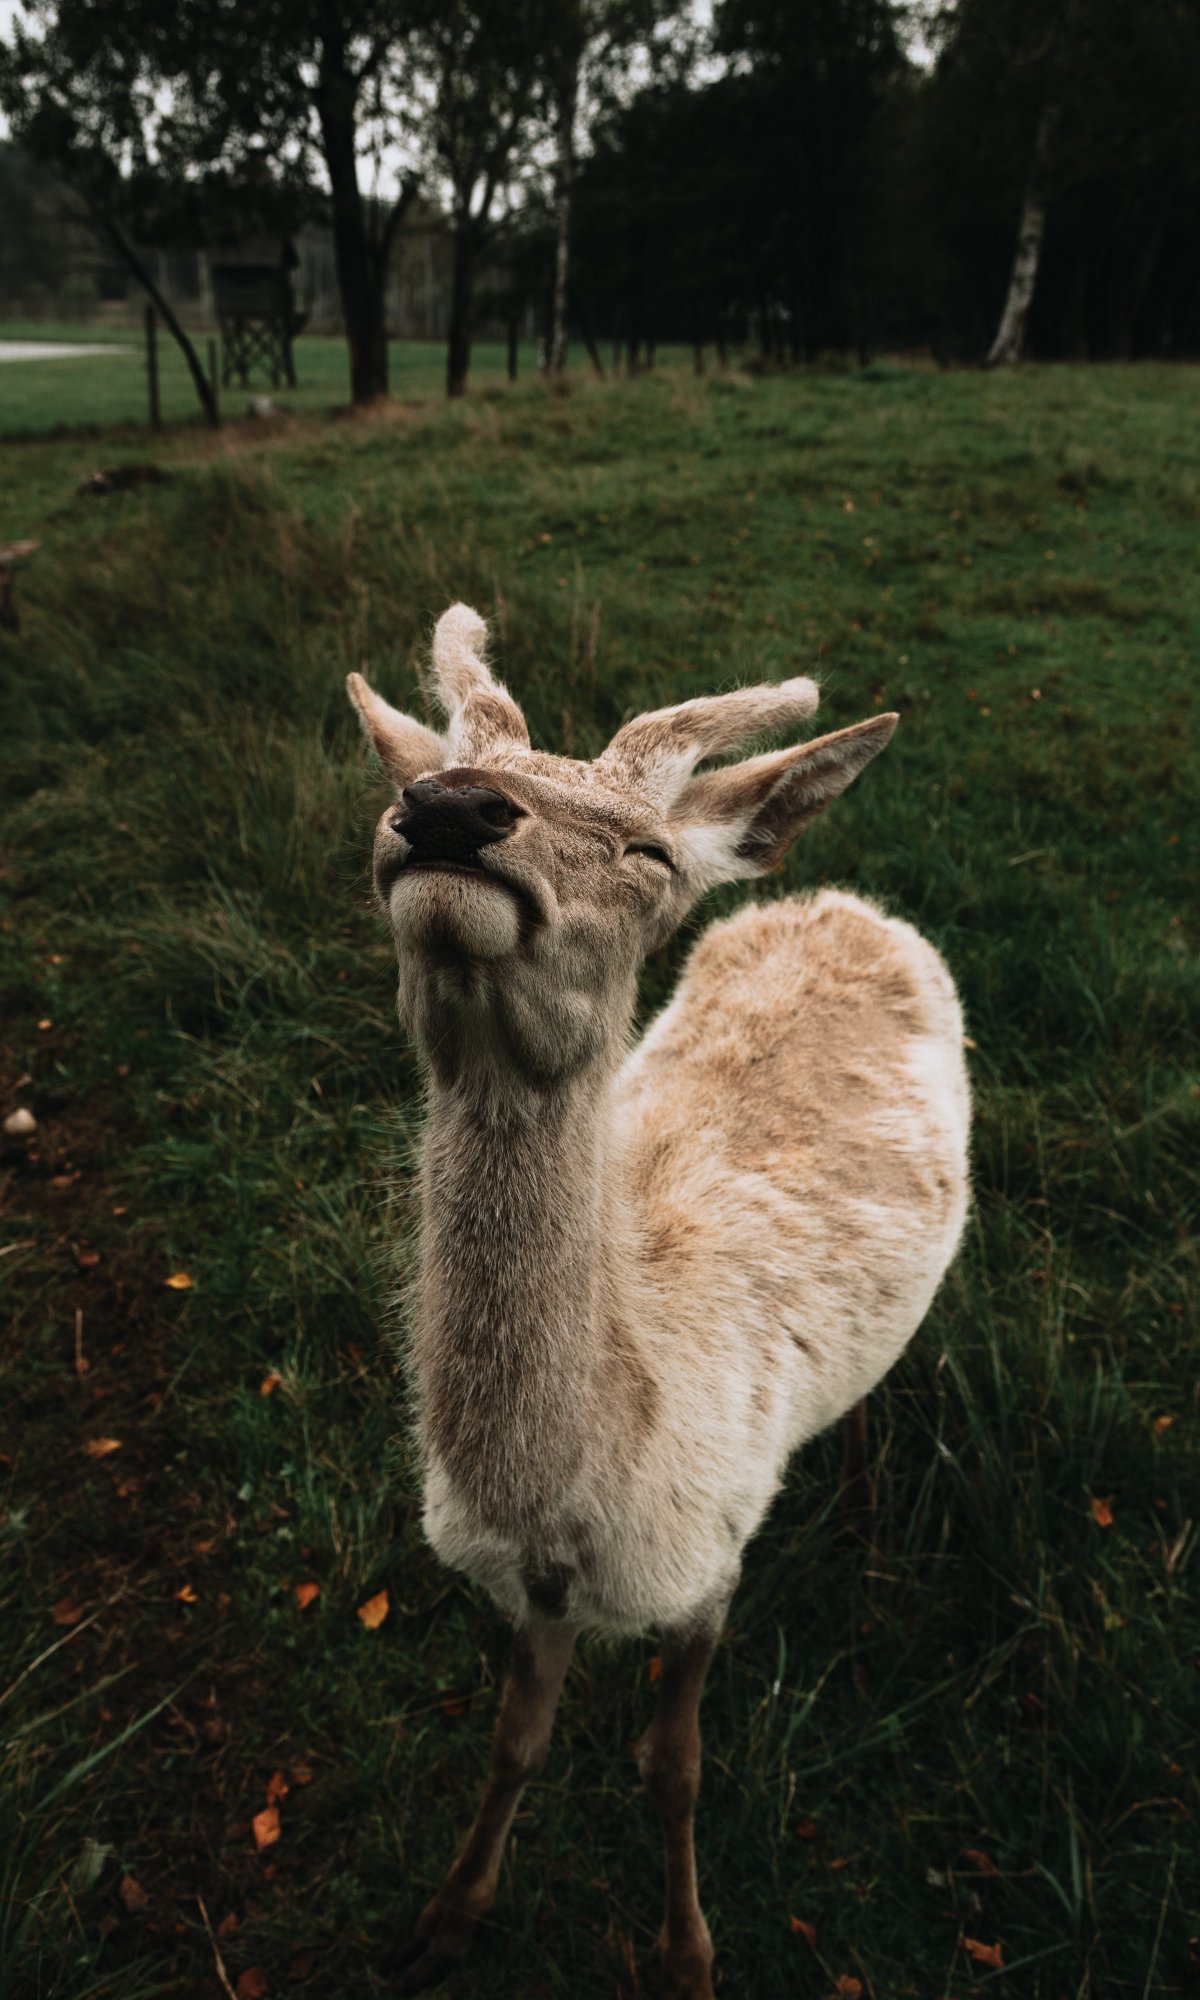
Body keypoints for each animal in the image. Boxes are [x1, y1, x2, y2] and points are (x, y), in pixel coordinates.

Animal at [347, 605, 970, 1997]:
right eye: (402, 785)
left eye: (646, 851)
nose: (447, 808)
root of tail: (841, 896)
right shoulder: (528, 1593)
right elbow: (514, 1742)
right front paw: (446, 1914)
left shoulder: (713, 1556)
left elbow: (674, 1767)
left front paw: (688, 1951)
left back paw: (865, 1510)